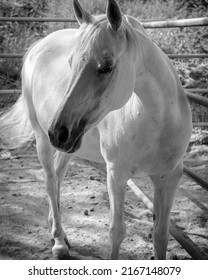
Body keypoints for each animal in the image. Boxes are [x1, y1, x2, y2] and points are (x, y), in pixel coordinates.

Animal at [0, 0, 192, 260]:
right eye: (70, 63)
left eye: (106, 67)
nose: (58, 132)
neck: (157, 122)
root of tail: (38, 47)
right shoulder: (116, 175)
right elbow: (117, 232)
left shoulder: (169, 177)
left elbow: (161, 236)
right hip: (42, 138)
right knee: (50, 181)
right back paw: (58, 242)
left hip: (69, 146)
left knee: (58, 176)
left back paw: (57, 231)